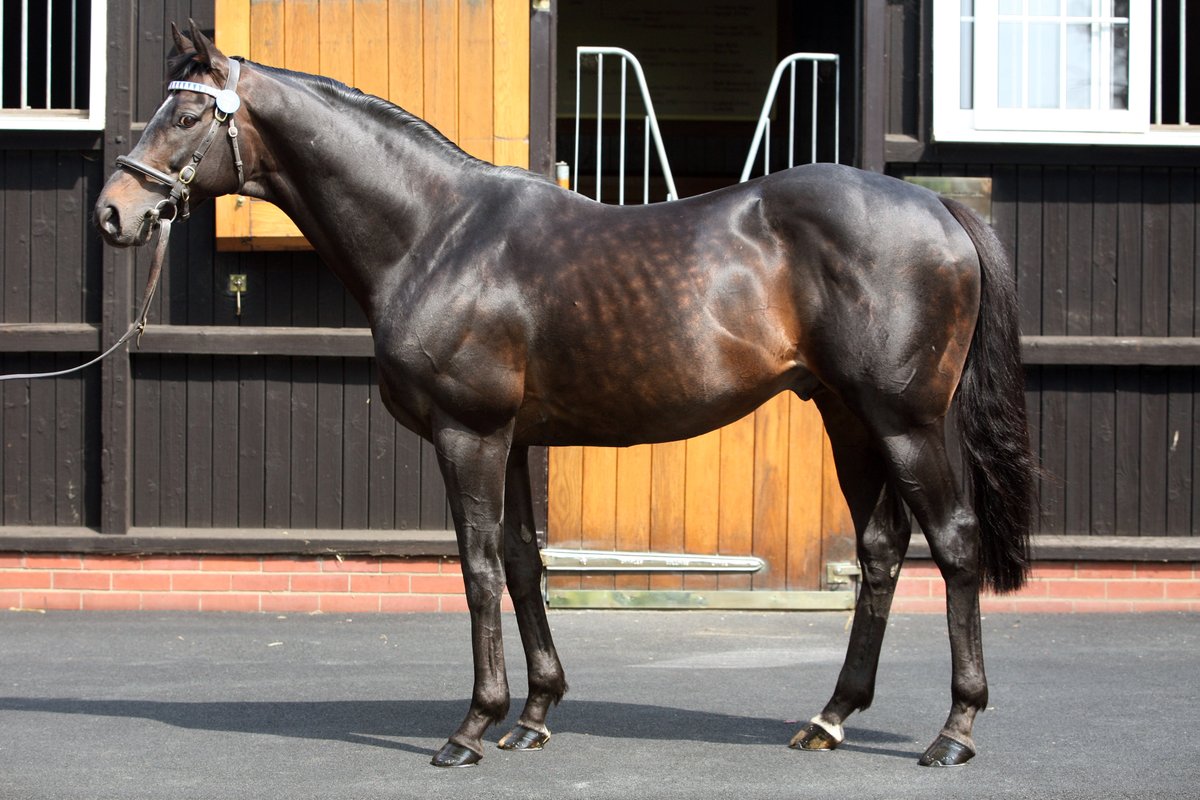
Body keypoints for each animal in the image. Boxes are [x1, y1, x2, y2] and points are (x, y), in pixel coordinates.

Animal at [95, 22, 1037, 769]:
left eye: (186, 116)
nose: (114, 212)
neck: (437, 233)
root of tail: (936, 209)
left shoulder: (468, 434)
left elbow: (477, 568)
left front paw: (472, 727)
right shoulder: (510, 439)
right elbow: (522, 563)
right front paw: (535, 713)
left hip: (905, 421)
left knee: (954, 544)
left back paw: (954, 730)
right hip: (848, 417)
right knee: (880, 551)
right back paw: (831, 717)